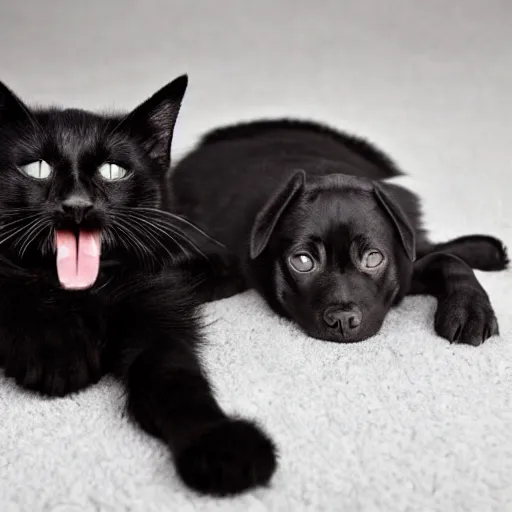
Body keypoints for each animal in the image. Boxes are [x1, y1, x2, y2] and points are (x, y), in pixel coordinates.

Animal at [0, 77, 276, 496]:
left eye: (114, 171)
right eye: (38, 168)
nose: (77, 205)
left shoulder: (156, 315)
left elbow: (174, 377)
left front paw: (221, 447)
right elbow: (16, 291)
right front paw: (57, 351)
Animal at [170, 119, 506, 344]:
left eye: (373, 258)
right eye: (302, 261)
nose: (343, 320)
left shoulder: (404, 264)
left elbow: (446, 259)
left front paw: (469, 312)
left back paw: (487, 250)